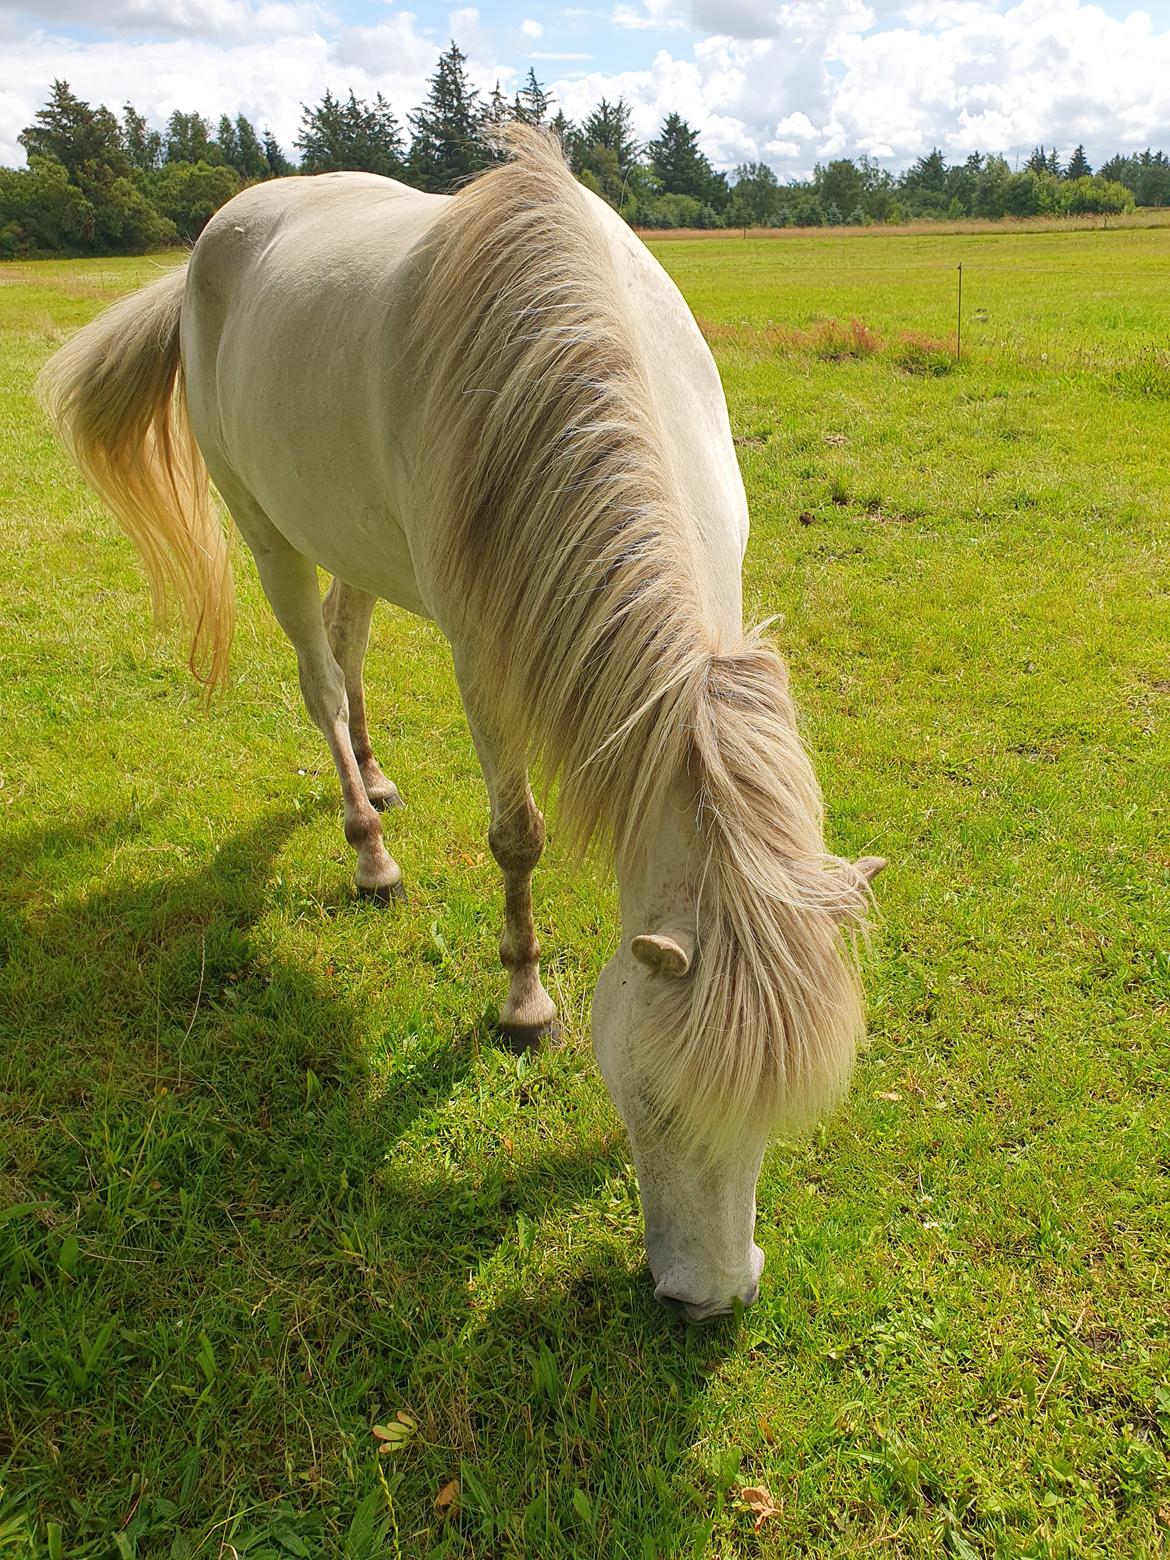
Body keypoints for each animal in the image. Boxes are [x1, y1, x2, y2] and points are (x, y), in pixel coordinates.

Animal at [39, 127, 886, 1316]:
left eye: (780, 1117)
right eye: (658, 1104)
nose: (710, 1300)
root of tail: (217, 234)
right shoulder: (483, 657)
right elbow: (517, 838)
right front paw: (525, 1005)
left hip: (345, 534)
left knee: (347, 651)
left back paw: (379, 775)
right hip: (268, 535)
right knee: (316, 677)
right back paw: (368, 848)